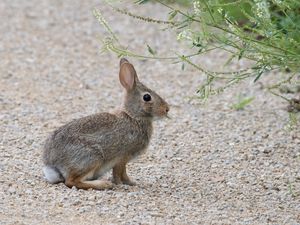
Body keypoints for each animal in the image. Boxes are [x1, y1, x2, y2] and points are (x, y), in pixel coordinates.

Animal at [42, 57, 169, 190]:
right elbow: (120, 173)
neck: (133, 117)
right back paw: (103, 184)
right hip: (92, 157)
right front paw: (124, 184)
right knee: (71, 181)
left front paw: (131, 183)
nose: (167, 109)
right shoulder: (122, 157)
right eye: (147, 97)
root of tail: (52, 165)